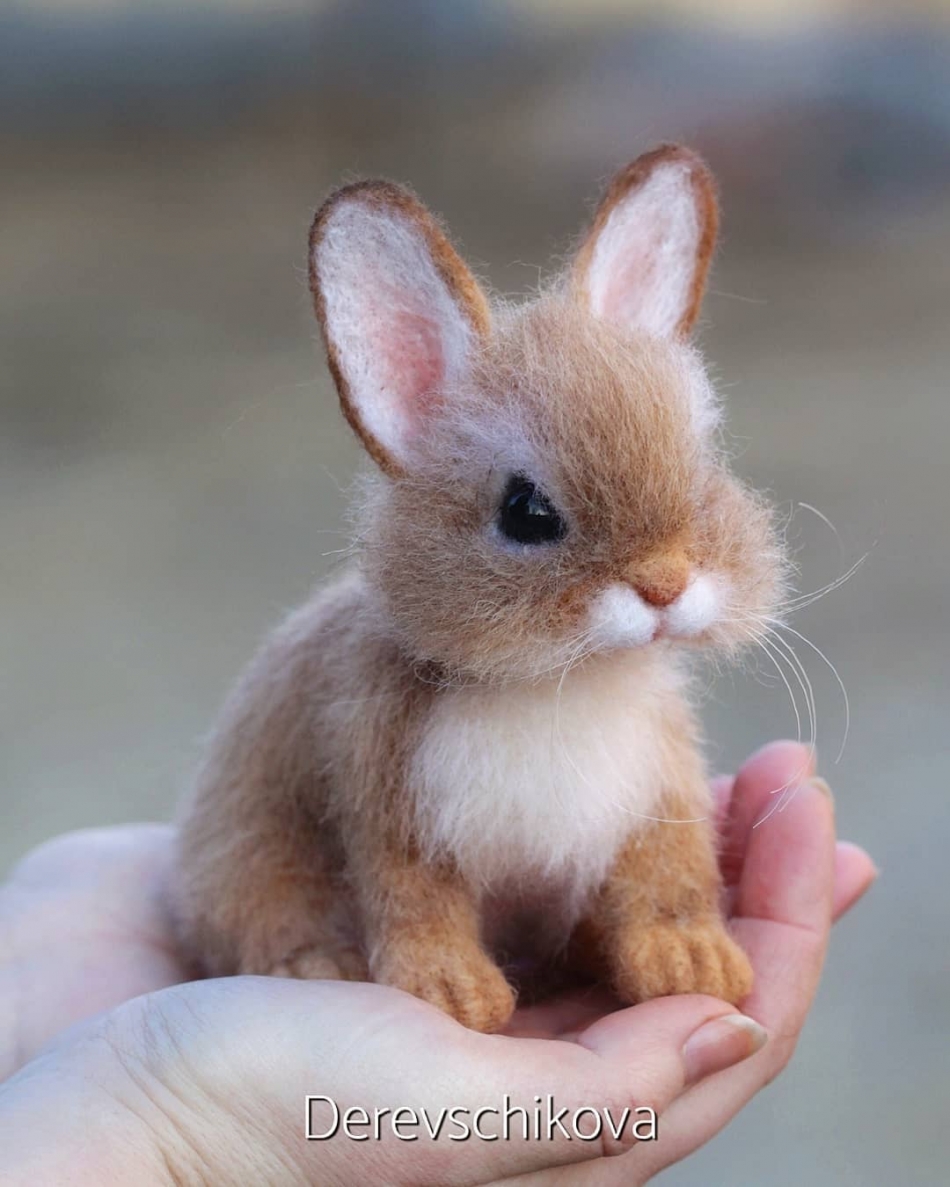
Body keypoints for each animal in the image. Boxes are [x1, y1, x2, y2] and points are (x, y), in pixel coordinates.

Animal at [174, 146, 783, 1030]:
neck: (558, 680)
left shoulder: (656, 790)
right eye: (526, 512)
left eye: (702, 468)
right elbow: (416, 901)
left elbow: (663, 877)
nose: (665, 584)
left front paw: (691, 961)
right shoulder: (390, 799)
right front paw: (451, 991)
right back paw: (314, 965)